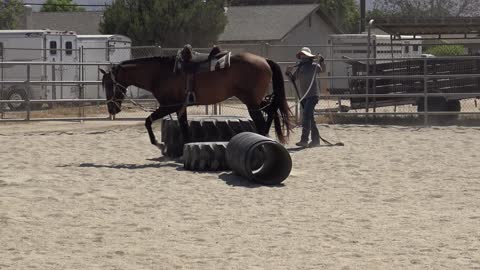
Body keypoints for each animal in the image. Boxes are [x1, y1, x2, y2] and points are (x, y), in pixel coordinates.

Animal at [100, 51, 292, 149]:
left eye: (109, 84)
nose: (111, 110)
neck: (161, 73)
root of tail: (264, 60)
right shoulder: (180, 108)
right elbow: (184, 128)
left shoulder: (169, 106)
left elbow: (148, 121)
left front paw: (155, 141)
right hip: (254, 100)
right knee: (271, 109)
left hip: (250, 101)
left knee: (263, 117)